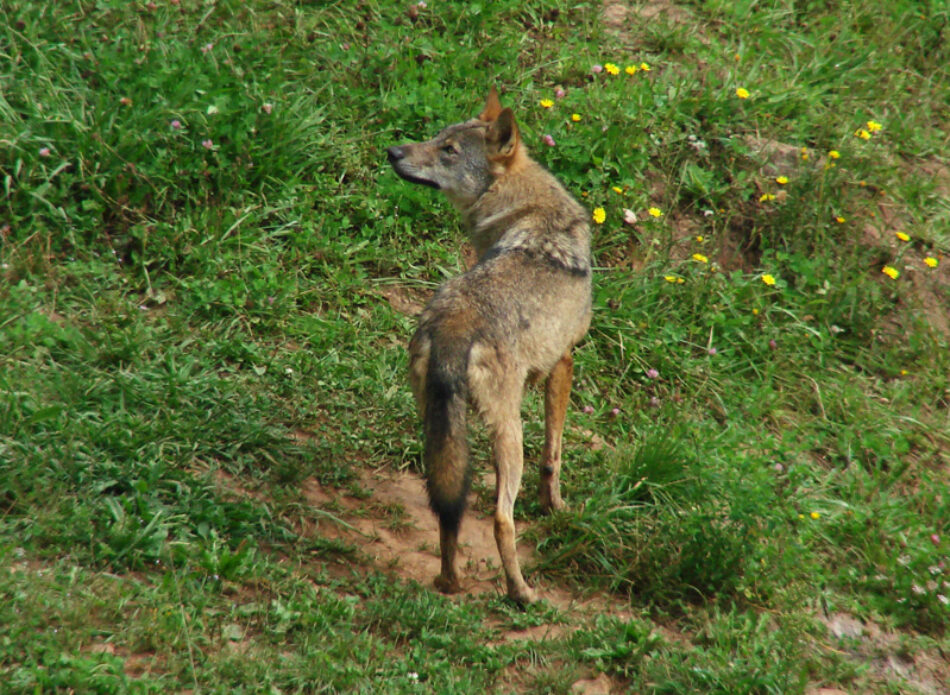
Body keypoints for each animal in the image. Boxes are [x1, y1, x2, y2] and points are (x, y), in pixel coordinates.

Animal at [390, 88, 592, 604]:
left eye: (446, 147)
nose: (393, 151)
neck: (527, 213)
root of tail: (451, 325)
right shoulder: (565, 362)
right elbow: (553, 457)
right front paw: (557, 508)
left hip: (439, 427)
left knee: (447, 506)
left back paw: (449, 583)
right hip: (510, 433)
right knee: (502, 518)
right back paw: (521, 594)